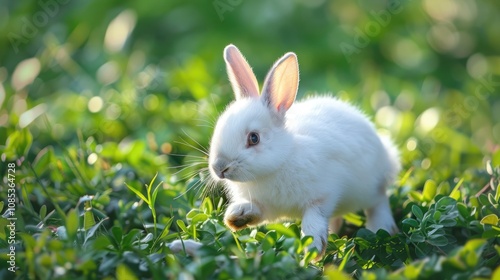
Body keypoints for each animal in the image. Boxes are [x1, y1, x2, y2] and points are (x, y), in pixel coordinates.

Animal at [208, 44, 402, 258]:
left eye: (254, 138)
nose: (219, 168)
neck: (280, 162)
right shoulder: (267, 207)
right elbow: (257, 211)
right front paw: (236, 216)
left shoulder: (324, 194)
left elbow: (314, 218)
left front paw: (312, 248)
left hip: (371, 186)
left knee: (378, 201)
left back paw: (380, 228)